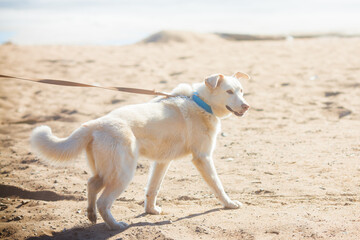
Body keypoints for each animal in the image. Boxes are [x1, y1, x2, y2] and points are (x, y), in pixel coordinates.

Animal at [31, 71, 250, 231]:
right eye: (229, 92)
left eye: (241, 91)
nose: (247, 106)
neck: (200, 103)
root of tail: (95, 124)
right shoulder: (203, 158)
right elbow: (217, 186)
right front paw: (229, 204)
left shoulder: (162, 162)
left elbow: (152, 189)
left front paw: (151, 211)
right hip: (123, 173)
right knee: (103, 201)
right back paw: (115, 225)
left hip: (107, 170)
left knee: (92, 184)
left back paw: (92, 215)